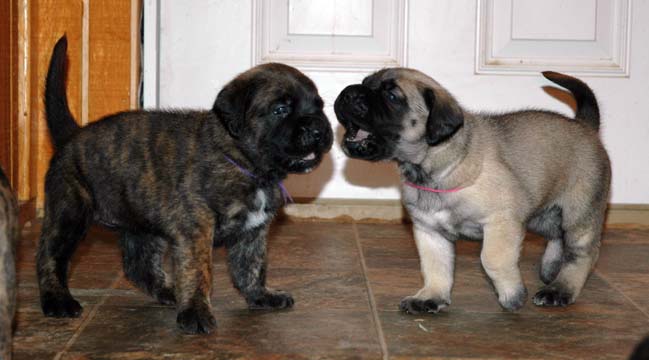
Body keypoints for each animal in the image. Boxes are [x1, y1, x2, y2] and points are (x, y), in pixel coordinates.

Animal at [37, 35, 332, 334]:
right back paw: (58, 302)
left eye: (319, 106)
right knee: (50, 258)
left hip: (143, 225)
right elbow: (198, 271)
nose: (318, 130)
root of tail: (72, 135)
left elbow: (252, 266)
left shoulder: (253, 231)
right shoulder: (196, 229)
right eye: (280, 109)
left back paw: (169, 291)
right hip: (70, 215)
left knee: (138, 265)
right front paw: (196, 313)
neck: (244, 162)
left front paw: (261, 296)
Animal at [334, 69, 608, 314]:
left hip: (579, 215)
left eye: (392, 96)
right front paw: (431, 296)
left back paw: (560, 290)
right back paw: (551, 268)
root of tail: (585, 125)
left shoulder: (501, 222)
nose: (348, 93)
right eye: (364, 83)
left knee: (582, 254)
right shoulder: (430, 231)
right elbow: (435, 266)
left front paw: (511, 294)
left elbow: (492, 259)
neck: (431, 169)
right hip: (542, 215)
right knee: (556, 236)